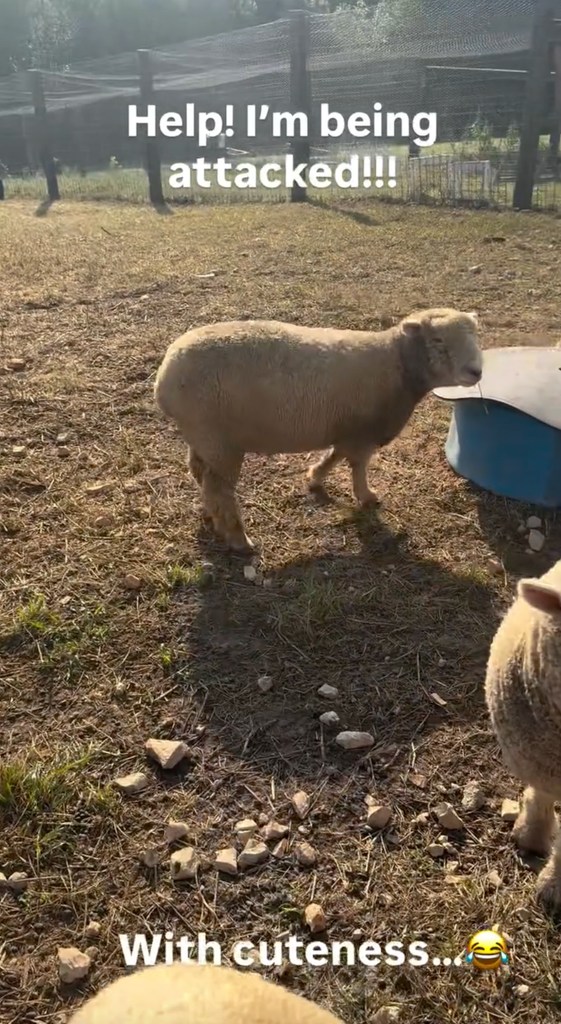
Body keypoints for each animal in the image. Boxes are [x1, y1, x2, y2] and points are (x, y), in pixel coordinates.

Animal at [154, 308, 482, 553]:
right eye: (437, 340)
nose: (476, 371)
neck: (396, 363)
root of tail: (165, 375)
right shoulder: (364, 431)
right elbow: (357, 466)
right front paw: (366, 497)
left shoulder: (350, 430)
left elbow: (335, 455)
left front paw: (315, 477)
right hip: (219, 441)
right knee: (219, 488)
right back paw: (238, 539)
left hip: (204, 439)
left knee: (200, 474)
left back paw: (211, 515)